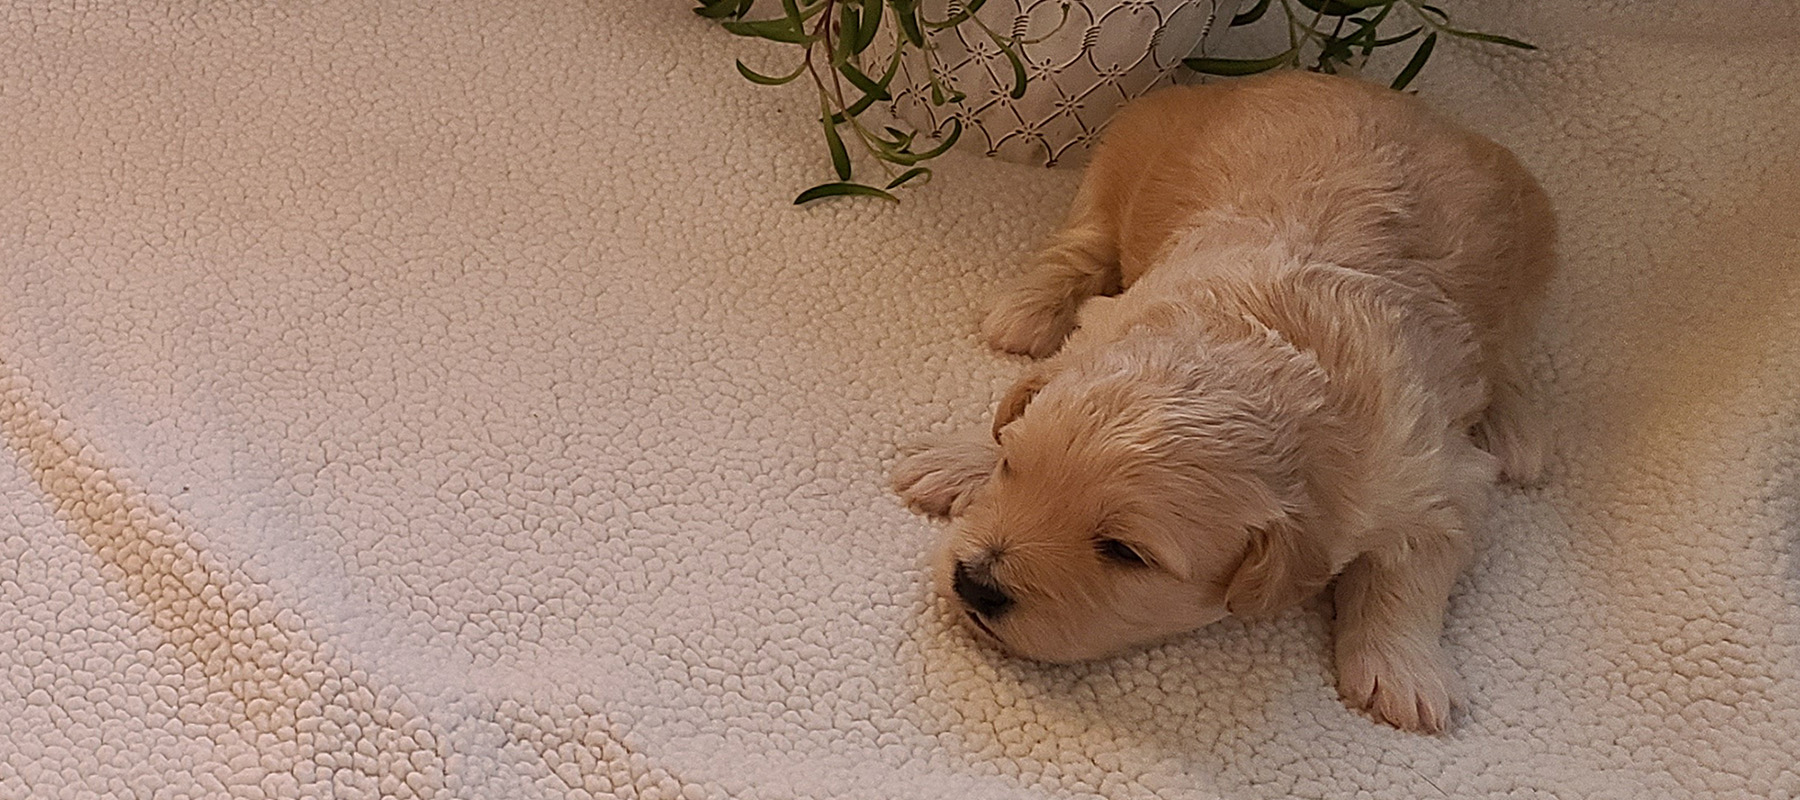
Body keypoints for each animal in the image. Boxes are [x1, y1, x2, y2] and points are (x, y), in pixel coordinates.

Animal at [892, 72, 1555, 735]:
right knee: (1086, 237)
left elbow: (1413, 561)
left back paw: (1517, 433)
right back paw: (1025, 313)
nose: (975, 583)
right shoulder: (1114, 317)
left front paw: (1401, 672)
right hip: (1128, 149)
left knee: (1510, 354)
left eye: (1125, 553)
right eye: (1012, 469)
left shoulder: (1428, 475)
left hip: (1534, 255)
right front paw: (955, 460)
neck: (1266, 338)